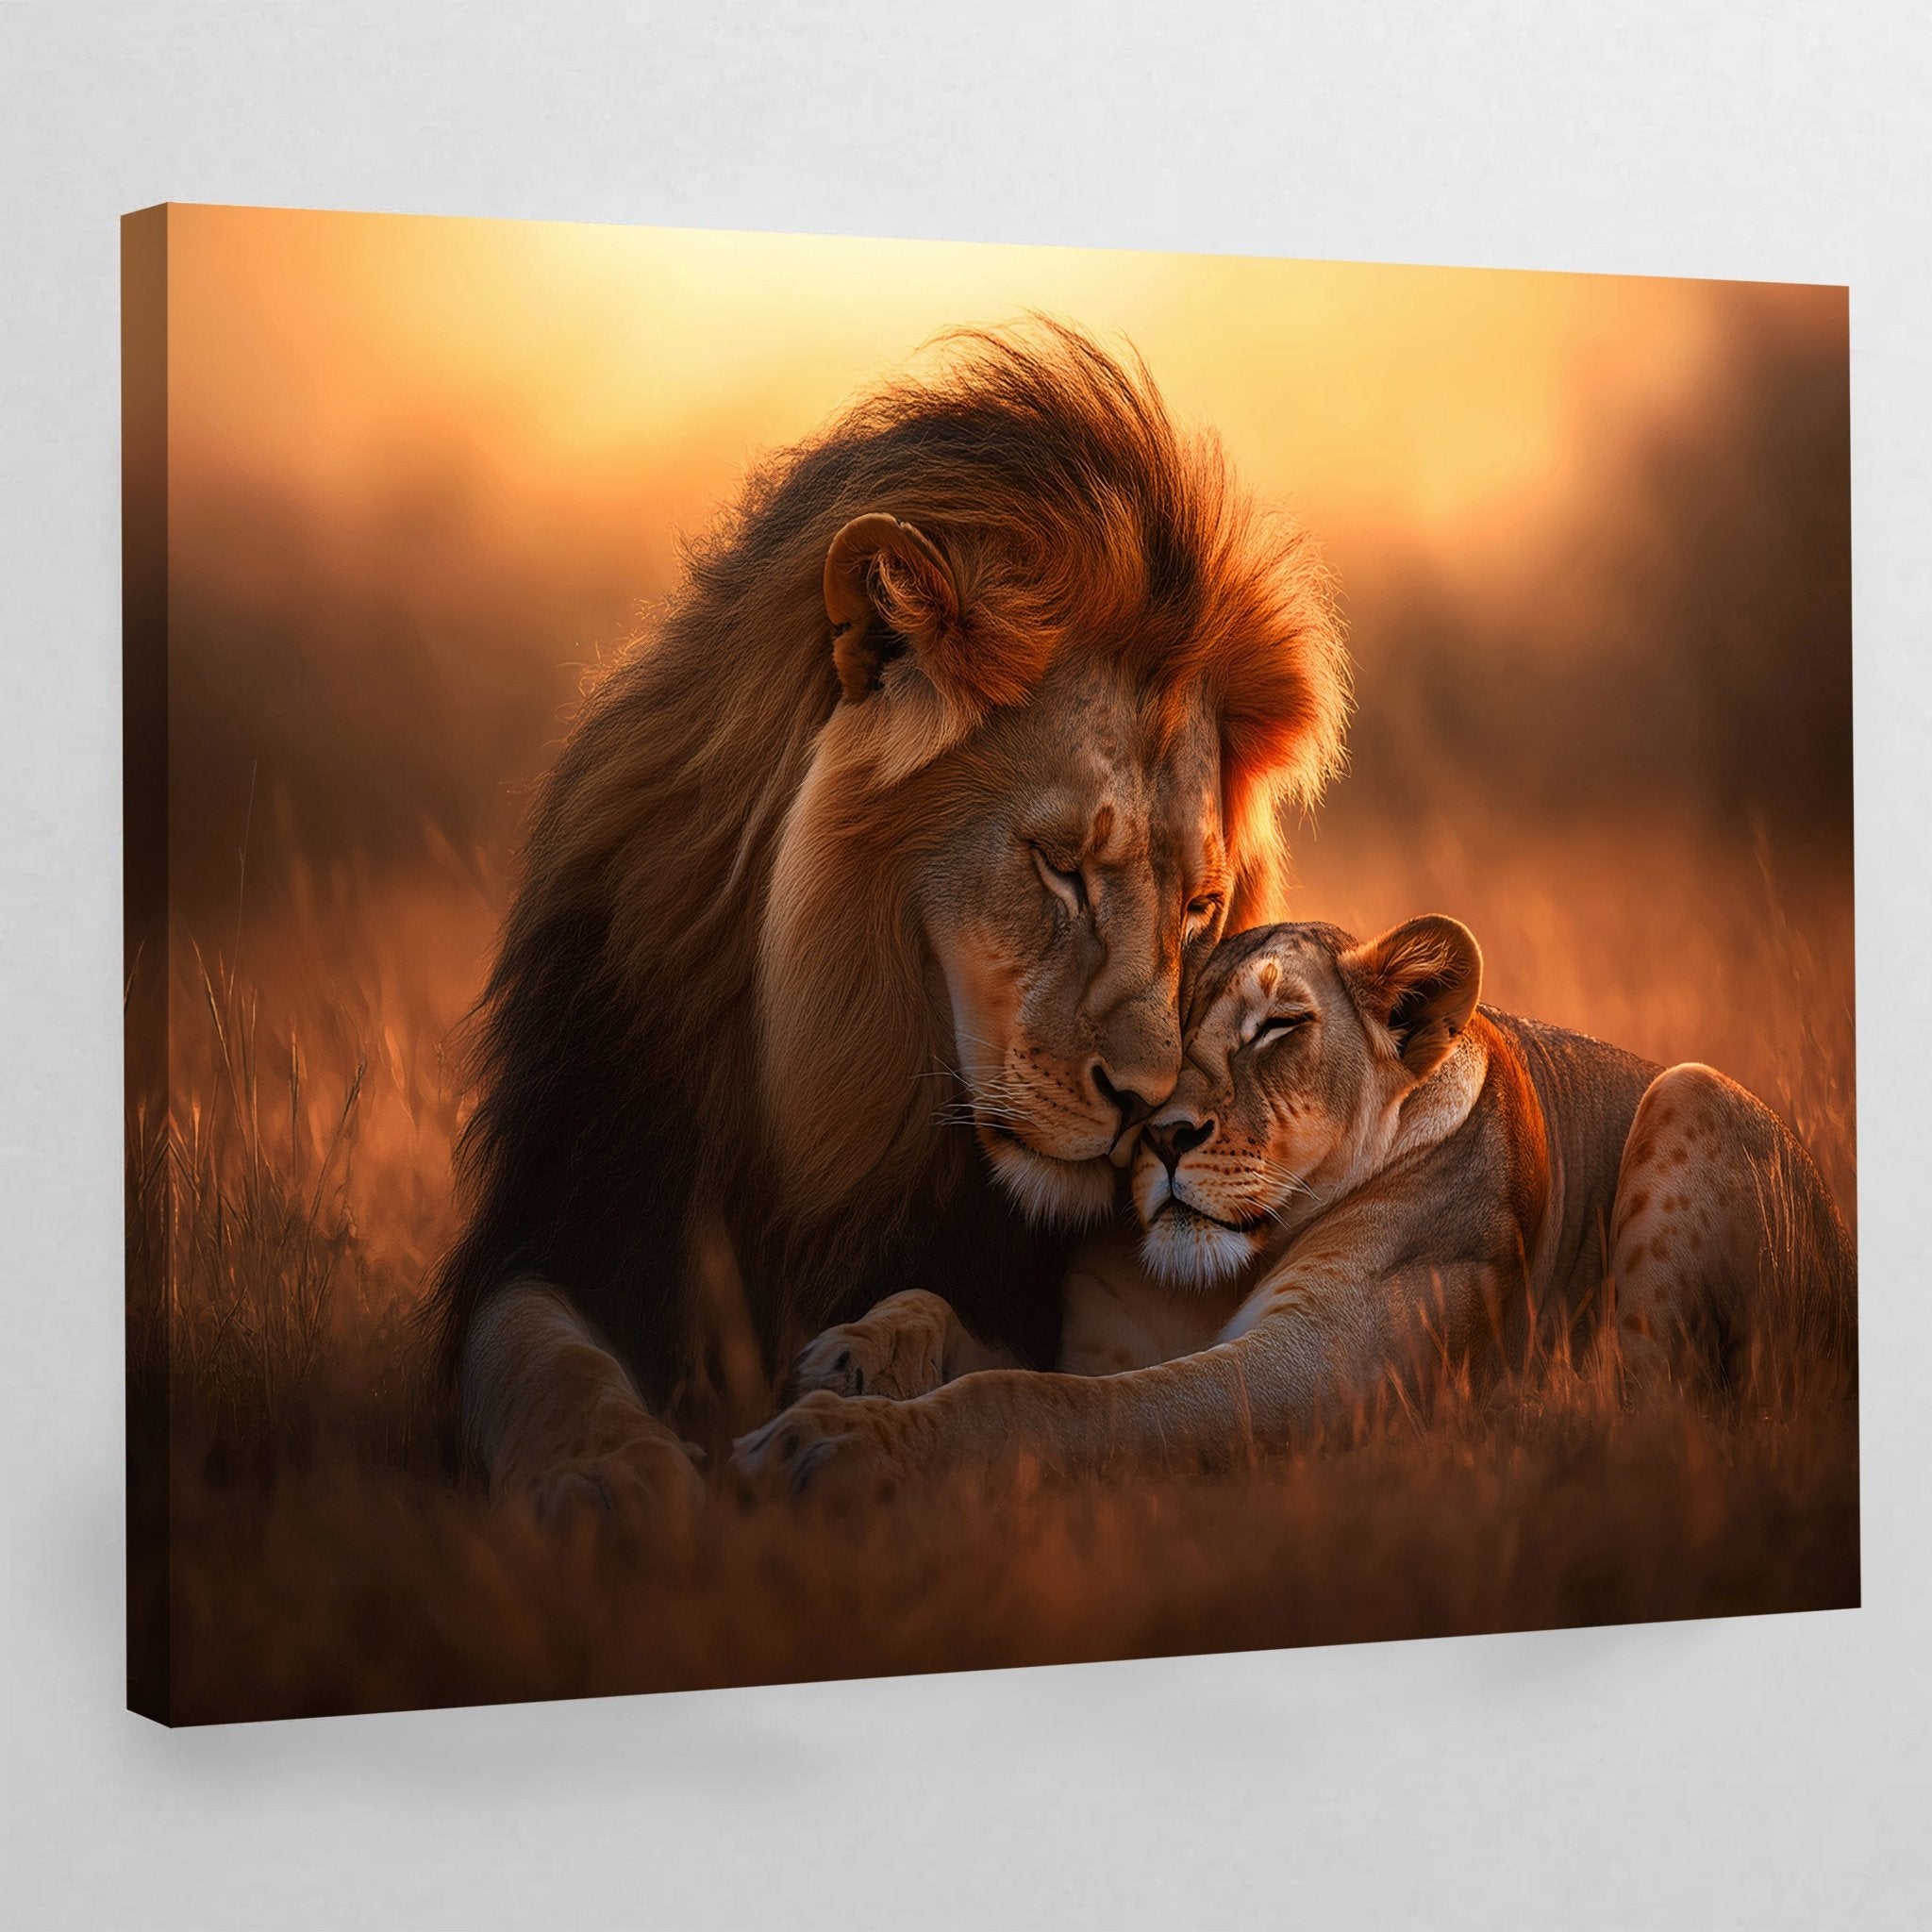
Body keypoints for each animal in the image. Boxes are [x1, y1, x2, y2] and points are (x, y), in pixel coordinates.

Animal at [431, 321, 1351, 1522]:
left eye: (1198, 907)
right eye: (1060, 867)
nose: (1148, 1108)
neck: (850, 1071)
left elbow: (980, 1347)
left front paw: (866, 1367)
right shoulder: (572, 1204)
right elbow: (542, 1354)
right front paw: (609, 1475)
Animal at [740, 914, 1854, 1493]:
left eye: (1276, 1027)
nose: (1161, 1131)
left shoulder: (1316, 1371)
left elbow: (1033, 1400)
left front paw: (830, 1443)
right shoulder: (1104, 1344)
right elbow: (959, 1325)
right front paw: (848, 1356)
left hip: (1692, 1090)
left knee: (1661, 1425)